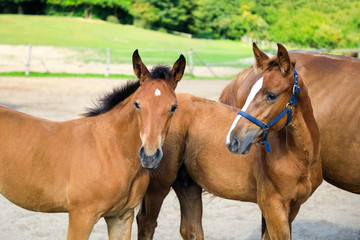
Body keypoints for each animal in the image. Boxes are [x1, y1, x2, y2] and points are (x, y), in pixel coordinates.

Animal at [0, 49, 186, 239]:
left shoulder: (121, 217)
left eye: (174, 107)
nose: (149, 156)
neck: (111, 149)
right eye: (137, 104)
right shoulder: (81, 216)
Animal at [136, 44, 322, 239]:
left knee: (191, 229)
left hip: (188, 184)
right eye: (249, 92)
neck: (299, 158)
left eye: (271, 95)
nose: (233, 140)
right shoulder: (273, 207)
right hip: (159, 184)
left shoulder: (292, 207)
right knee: (146, 224)